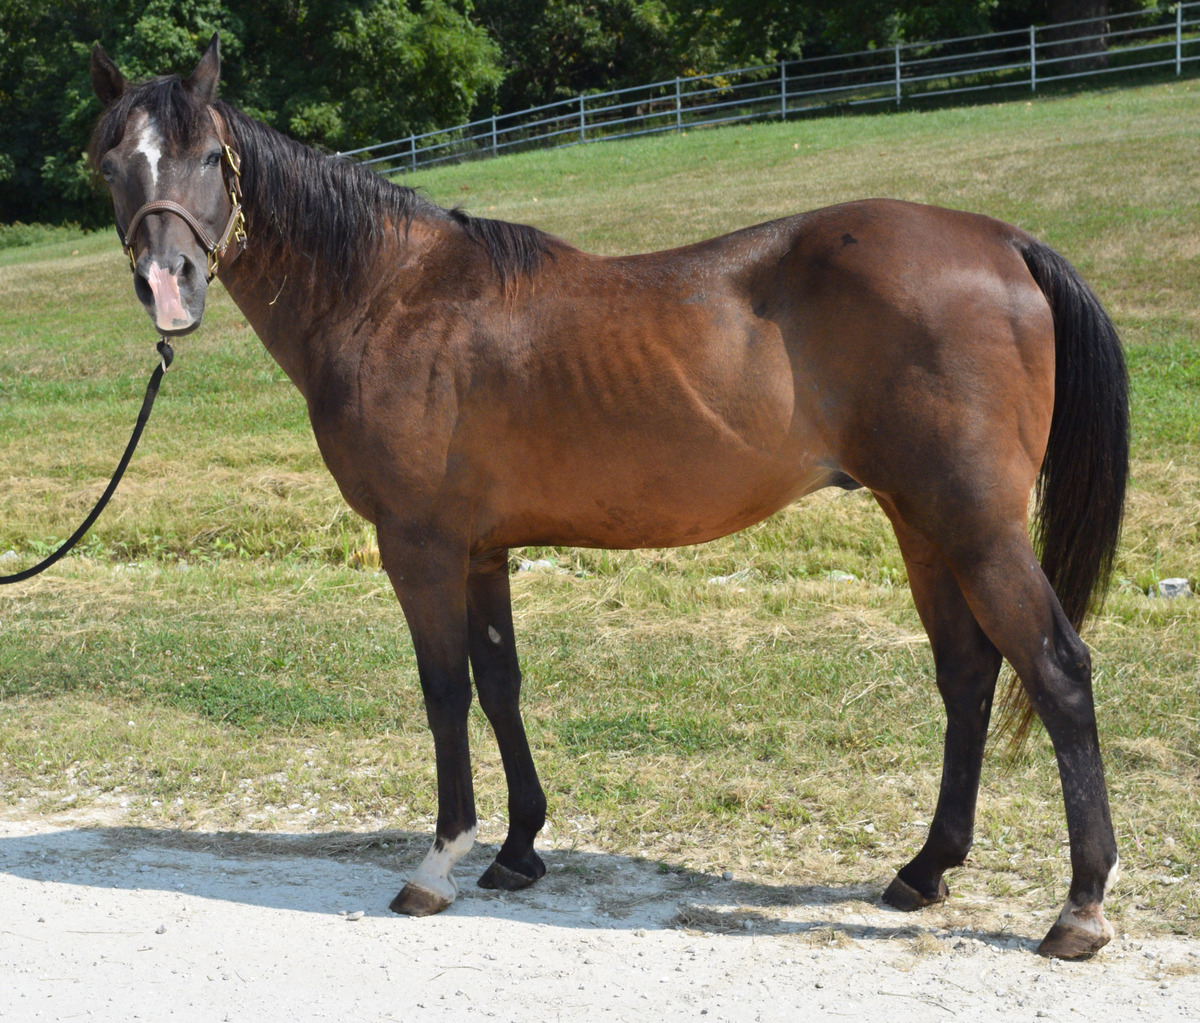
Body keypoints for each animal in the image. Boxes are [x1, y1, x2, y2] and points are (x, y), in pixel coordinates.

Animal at [87, 36, 1128, 959]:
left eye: (206, 156)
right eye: (111, 163)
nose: (168, 283)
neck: (390, 295)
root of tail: (1003, 241)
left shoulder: (418, 544)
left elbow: (444, 691)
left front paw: (439, 862)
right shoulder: (481, 548)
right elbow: (500, 683)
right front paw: (516, 849)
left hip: (975, 526)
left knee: (1057, 668)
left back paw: (1077, 909)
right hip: (922, 522)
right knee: (968, 672)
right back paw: (924, 869)